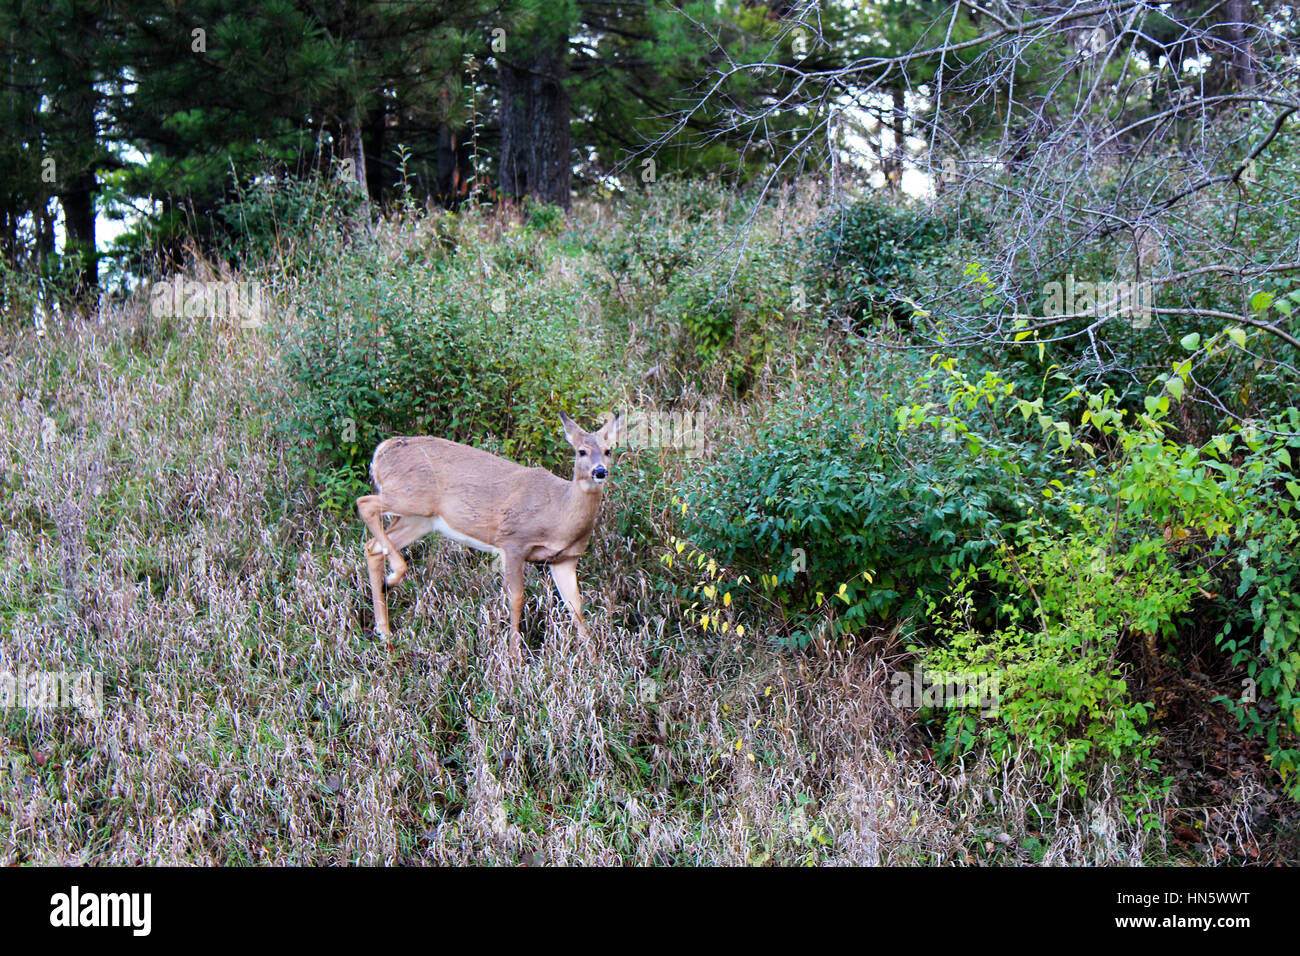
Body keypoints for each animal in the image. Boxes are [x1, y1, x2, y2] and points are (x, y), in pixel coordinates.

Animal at [353, 411, 621, 658]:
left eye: (608, 450)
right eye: (581, 451)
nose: (599, 472)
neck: (559, 515)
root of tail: (381, 451)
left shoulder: (565, 559)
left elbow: (576, 605)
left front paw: (594, 659)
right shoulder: (513, 542)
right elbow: (517, 598)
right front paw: (514, 657)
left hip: (420, 519)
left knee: (372, 547)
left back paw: (385, 634)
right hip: (410, 497)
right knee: (364, 503)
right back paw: (392, 580)